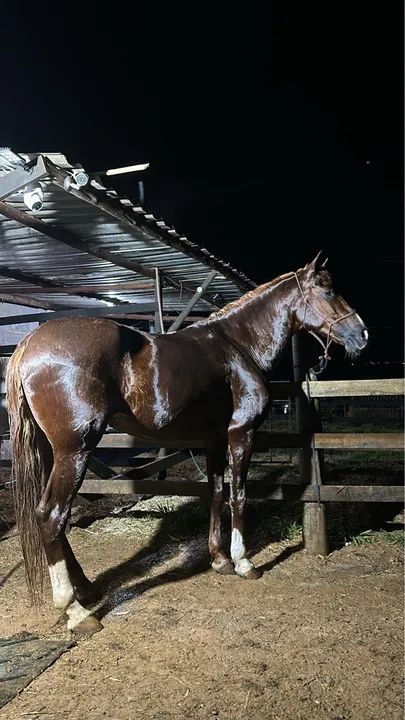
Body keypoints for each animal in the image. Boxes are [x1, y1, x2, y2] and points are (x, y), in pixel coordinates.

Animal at [6, 252, 368, 633]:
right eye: (327, 290)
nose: (362, 334)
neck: (238, 345)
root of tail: (28, 346)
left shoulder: (213, 440)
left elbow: (217, 494)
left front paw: (219, 559)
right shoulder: (241, 433)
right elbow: (239, 495)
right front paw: (243, 563)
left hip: (52, 453)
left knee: (54, 519)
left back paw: (87, 589)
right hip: (75, 451)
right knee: (51, 516)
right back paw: (76, 611)